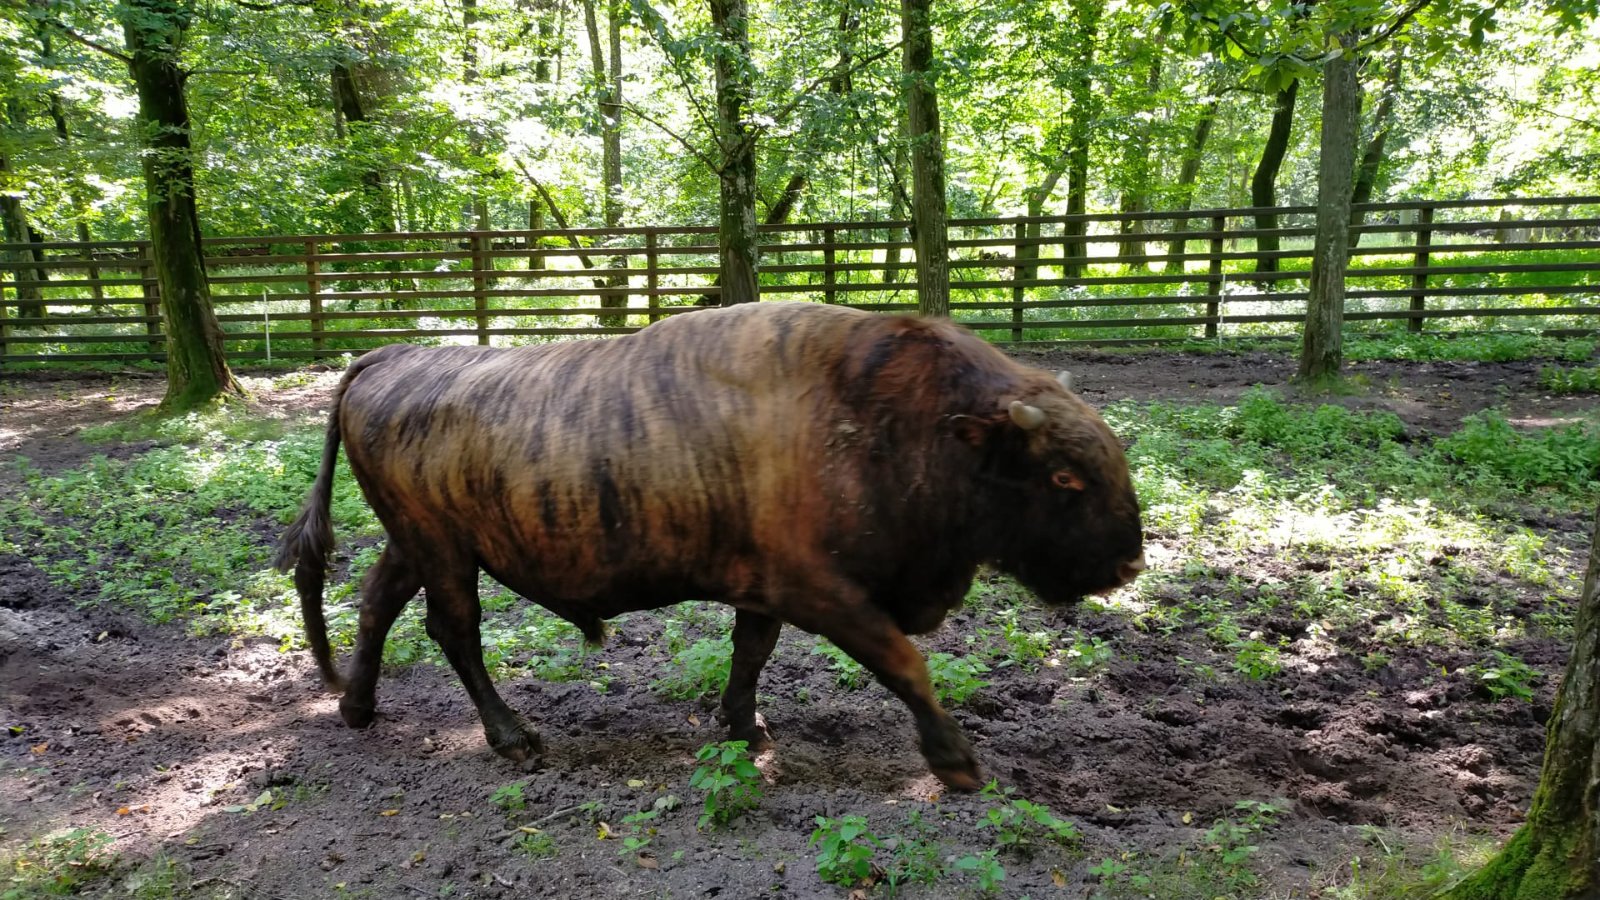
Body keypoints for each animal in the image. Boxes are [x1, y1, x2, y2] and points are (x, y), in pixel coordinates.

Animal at [274, 301, 1144, 790]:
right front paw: (956, 764)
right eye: (1064, 476)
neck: (892, 417)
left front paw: (742, 727)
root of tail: (387, 357)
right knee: (454, 632)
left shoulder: (766, 591)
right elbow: (904, 663)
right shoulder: (823, 593)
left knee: (378, 606)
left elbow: (750, 652)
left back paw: (357, 707)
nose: (1130, 562)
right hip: (447, 554)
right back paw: (513, 737)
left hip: (417, 544)